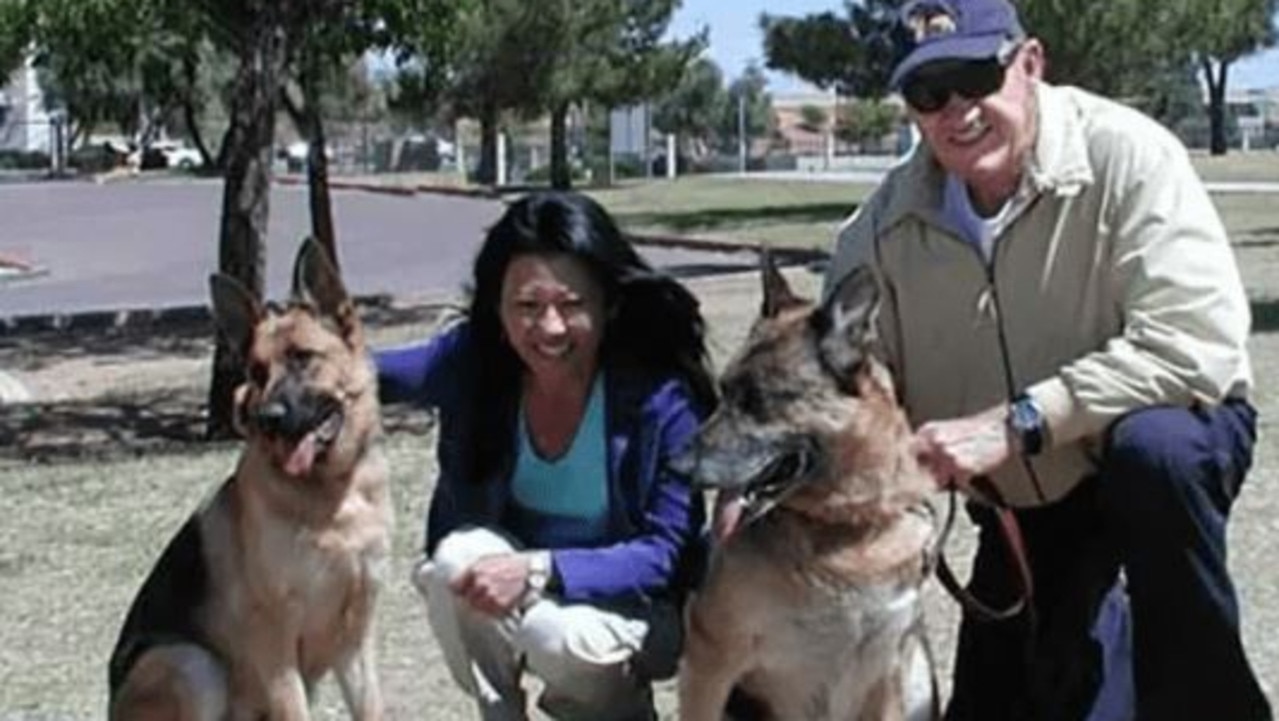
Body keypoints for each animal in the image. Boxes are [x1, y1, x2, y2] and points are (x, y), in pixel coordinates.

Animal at [108, 239, 391, 715]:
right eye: (257, 372)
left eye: (302, 358)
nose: (267, 418)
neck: (330, 494)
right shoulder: (275, 644)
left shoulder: (355, 639)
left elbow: (372, 708)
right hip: (192, 664)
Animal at [675, 260, 936, 721]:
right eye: (723, 391)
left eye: (758, 400)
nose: (676, 465)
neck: (845, 527)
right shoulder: (711, 658)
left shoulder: (886, 671)